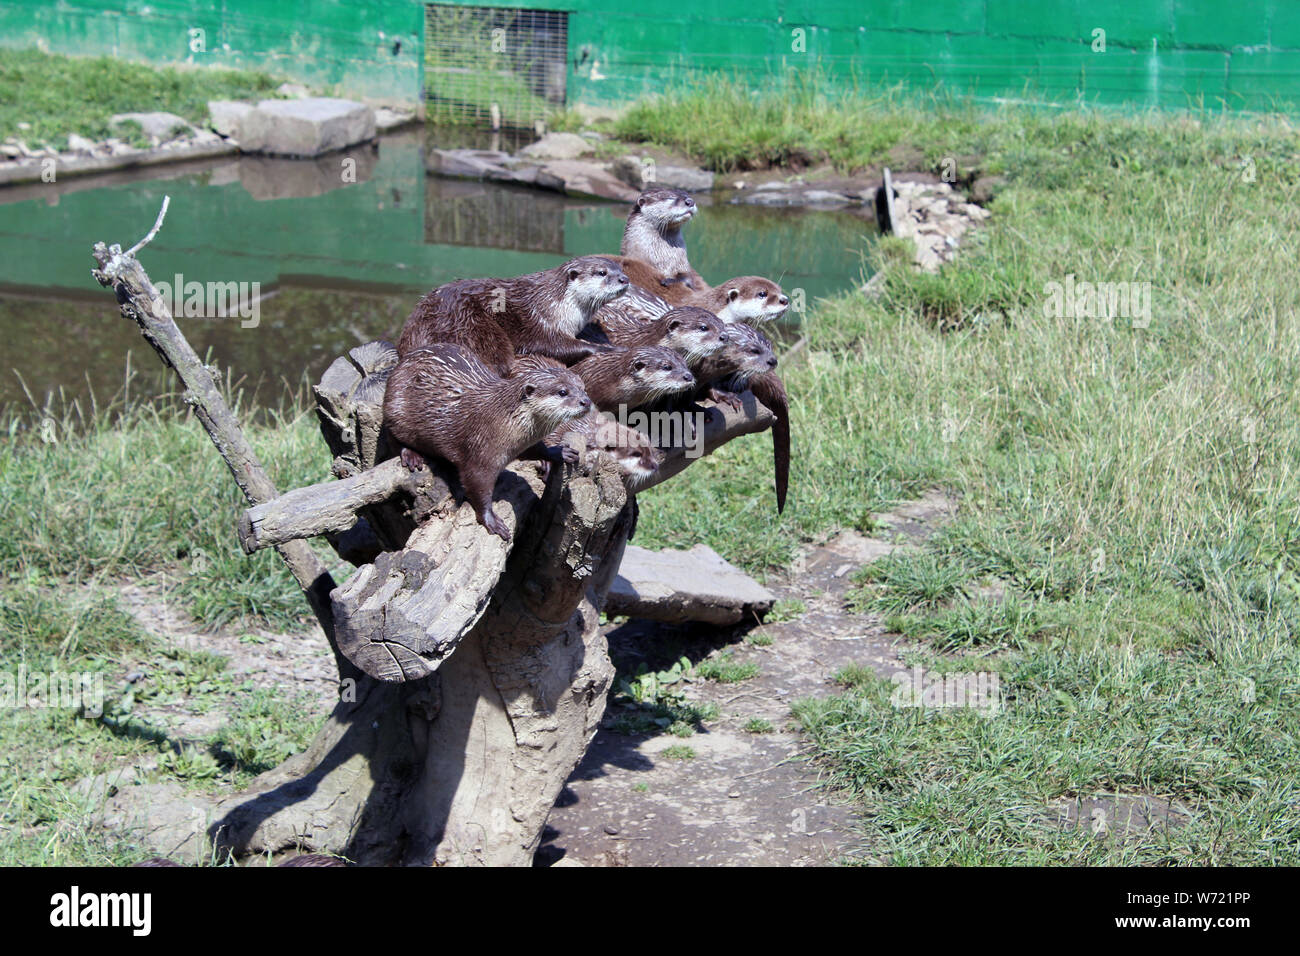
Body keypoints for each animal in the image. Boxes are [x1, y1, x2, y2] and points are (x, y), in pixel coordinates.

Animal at [383, 345, 591, 540]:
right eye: (562, 392)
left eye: (583, 387)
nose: (586, 401)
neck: (502, 420)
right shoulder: (479, 452)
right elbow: (477, 486)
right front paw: (490, 520)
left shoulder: (524, 443)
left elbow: (537, 450)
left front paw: (561, 452)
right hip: (396, 408)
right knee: (392, 435)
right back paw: (411, 455)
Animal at [397, 256, 628, 374]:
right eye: (602, 272)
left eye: (620, 269)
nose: (624, 279)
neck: (555, 303)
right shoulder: (540, 321)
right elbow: (556, 345)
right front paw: (607, 348)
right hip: (471, 326)